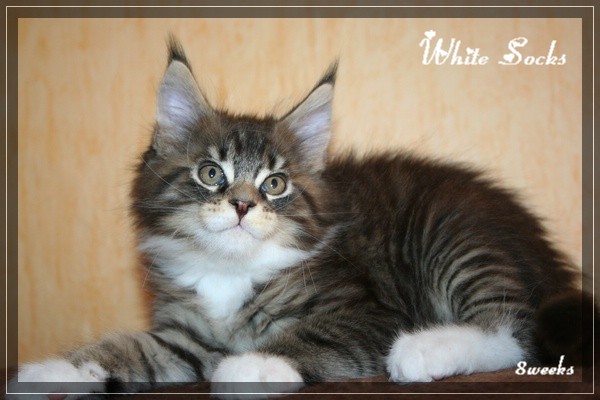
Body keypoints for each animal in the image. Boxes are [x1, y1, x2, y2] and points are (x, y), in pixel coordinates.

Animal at [9, 38, 585, 399]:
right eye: (211, 173)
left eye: (275, 184)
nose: (243, 205)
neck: (232, 273)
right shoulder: (185, 338)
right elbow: (122, 348)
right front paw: (51, 369)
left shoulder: (365, 312)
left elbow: (310, 337)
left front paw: (253, 363)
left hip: (456, 239)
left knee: (513, 334)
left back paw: (423, 350)